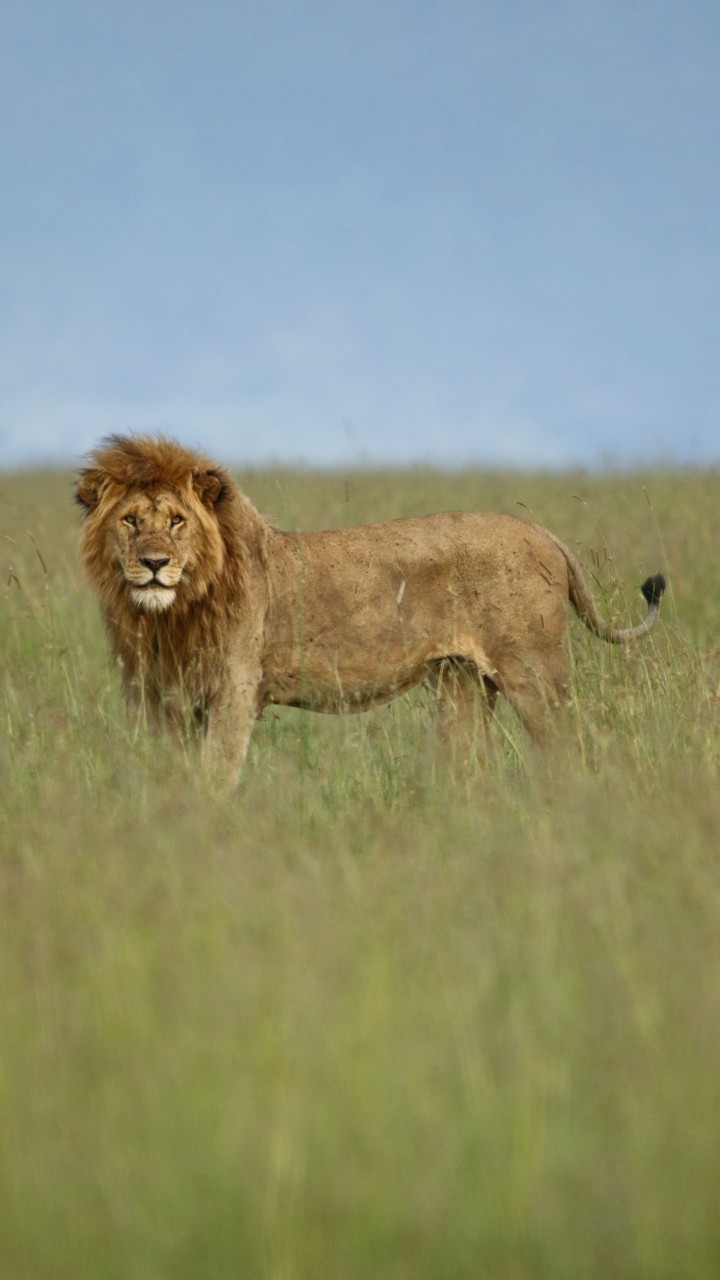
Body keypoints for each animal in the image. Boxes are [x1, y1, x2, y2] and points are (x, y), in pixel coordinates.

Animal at [75, 435, 666, 783]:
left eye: (177, 521)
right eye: (130, 521)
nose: (154, 563)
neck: (169, 614)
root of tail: (544, 533)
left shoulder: (235, 689)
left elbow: (215, 774)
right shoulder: (158, 694)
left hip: (535, 676)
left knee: (571, 750)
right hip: (462, 683)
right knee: (471, 764)